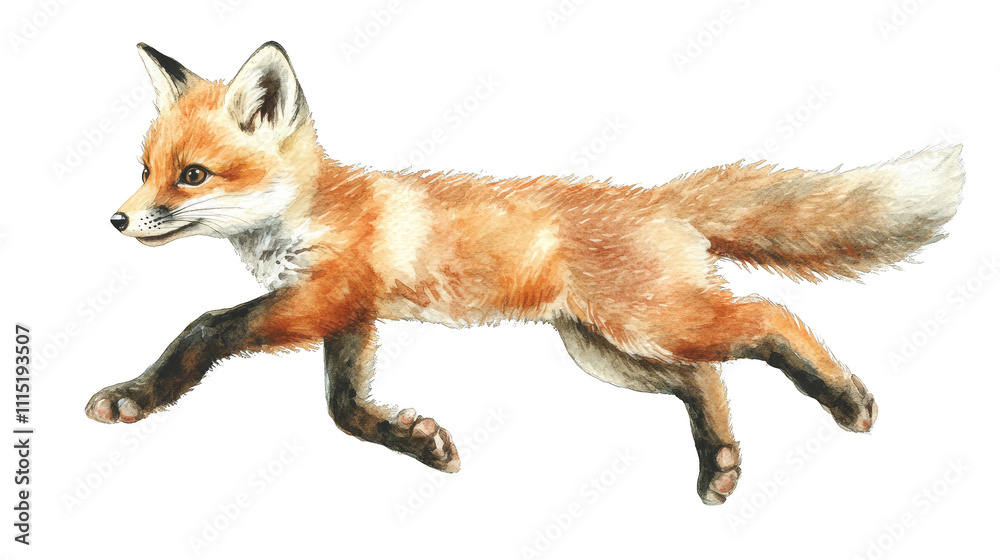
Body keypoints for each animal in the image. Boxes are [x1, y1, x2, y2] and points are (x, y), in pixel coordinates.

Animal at [87, 41, 964, 505]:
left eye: (192, 176)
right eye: (143, 169)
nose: (118, 221)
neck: (307, 210)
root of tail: (659, 197)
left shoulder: (324, 296)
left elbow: (206, 328)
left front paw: (137, 395)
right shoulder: (352, 315)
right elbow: (344, 410)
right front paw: (417, 443)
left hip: (651, 323)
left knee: (771, 321)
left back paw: (846, 399)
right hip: (605, 350)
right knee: (706, 379)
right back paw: (719, 462)